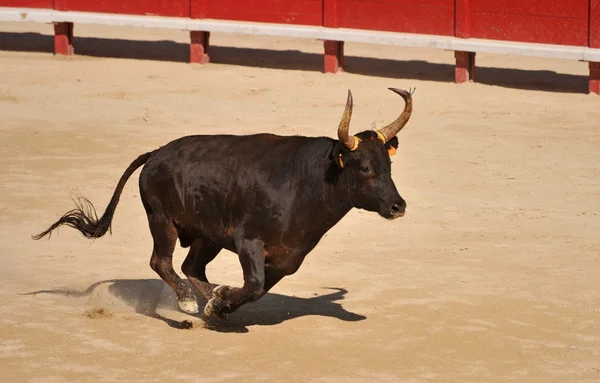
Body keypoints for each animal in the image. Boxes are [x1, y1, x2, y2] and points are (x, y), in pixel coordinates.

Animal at [32, 88, 414, 320]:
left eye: (388, 165)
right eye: (364, 168)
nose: (399, 206)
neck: (309, 181)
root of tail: (156, 153)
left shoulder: (287, 258)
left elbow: (257, 289)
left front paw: (221, 302)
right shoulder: (248, 242)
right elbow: (254, 284)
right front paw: (219, 300)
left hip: (207, 235)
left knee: (191, 266)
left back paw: (209, 300)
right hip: (162, 220)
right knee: (162, 262)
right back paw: (188, 302)